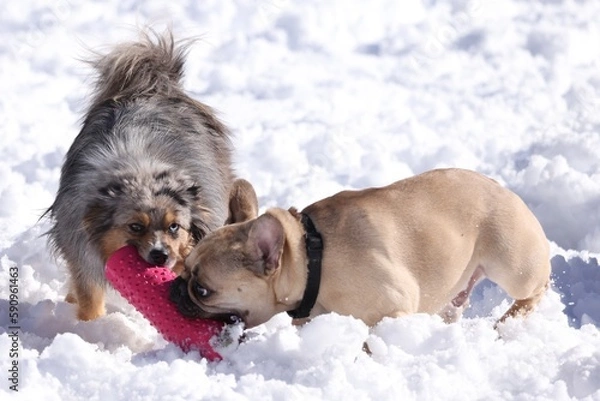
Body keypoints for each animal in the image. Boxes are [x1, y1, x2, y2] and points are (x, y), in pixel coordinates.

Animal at [180, 167, 552, 326]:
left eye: (203, 289)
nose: (176, 289)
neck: (312, 260)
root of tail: (499, 185)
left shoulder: (393, 309)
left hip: (513, 264)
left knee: (535, 288)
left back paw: (508, 322)